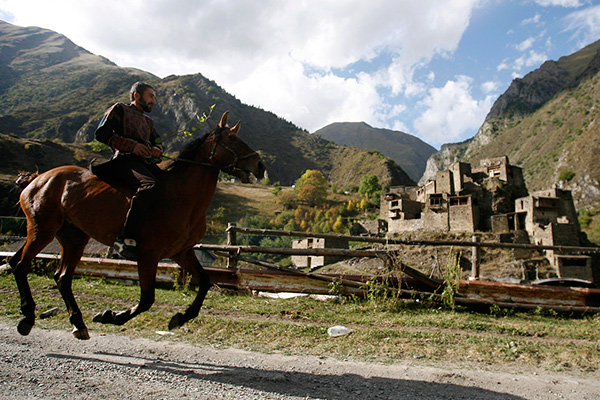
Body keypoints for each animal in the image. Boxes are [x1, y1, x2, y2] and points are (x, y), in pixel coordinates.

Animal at [7, 111, 264, 340]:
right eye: (231, 139)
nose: (260, 166)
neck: (180, 196)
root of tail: (38, 179)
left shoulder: (181, 252)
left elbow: (205, 282)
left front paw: (180, 317)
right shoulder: (148, 255)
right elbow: (147, 299)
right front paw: (111, 316)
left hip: (73, 238)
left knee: (60, 277)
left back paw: (78, 324)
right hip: (42, 230)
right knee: (21, 266)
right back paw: (28, 317)